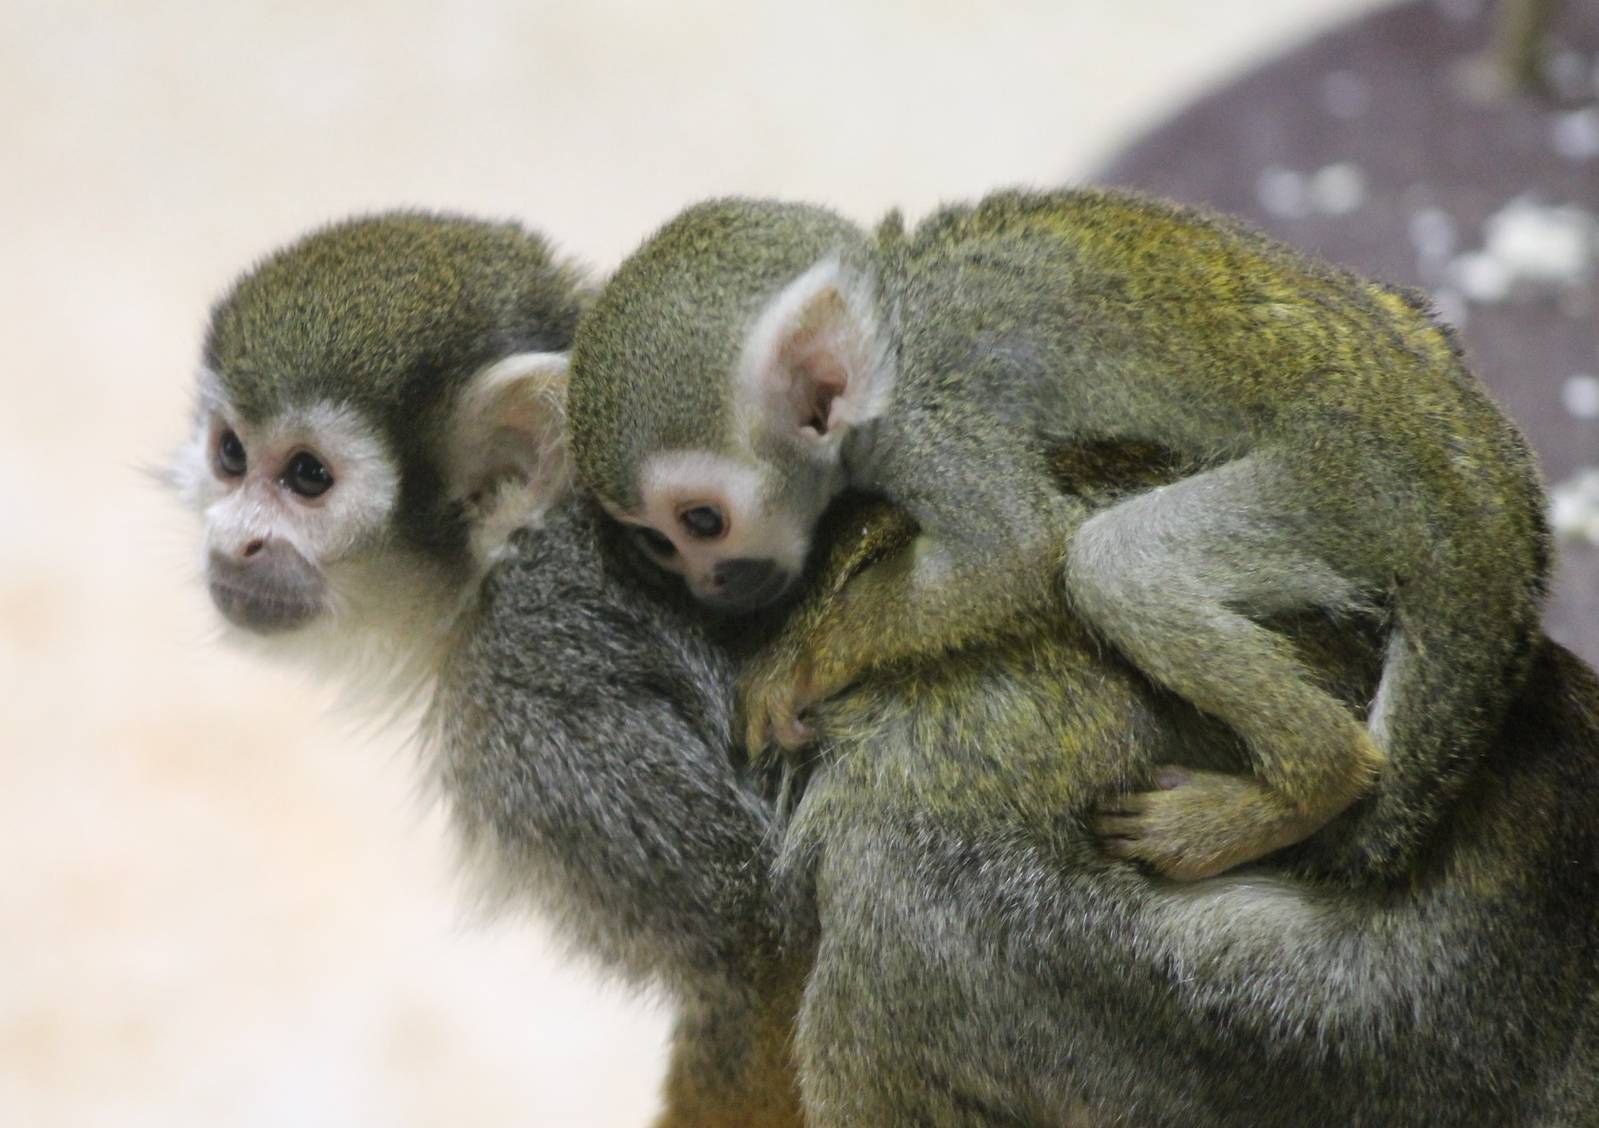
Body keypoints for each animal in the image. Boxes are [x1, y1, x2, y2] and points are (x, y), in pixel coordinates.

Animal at [565, 187, 1551, 883]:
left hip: (1348, 489)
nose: (707, 585)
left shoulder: (926, 425)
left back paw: (1306, 781)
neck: (893, 314)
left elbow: (1014, 555)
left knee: (1115, 563)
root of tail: (1476, 480)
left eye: (702, 522)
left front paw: (802, 658)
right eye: (658, 544)